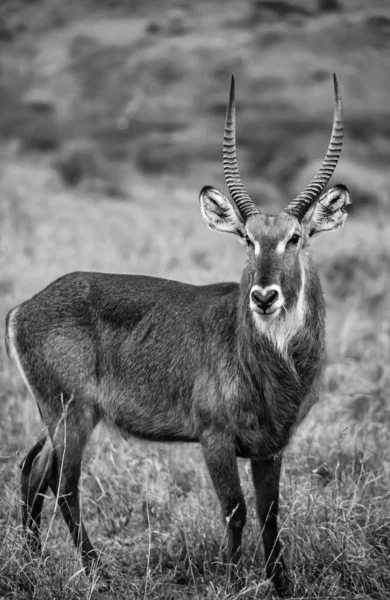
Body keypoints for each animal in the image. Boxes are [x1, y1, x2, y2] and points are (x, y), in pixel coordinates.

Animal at [5, 74, 350, 596]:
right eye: (247, 239)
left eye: (296, 237)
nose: (263, 296)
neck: (276, 368)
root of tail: (24, 306)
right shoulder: (215, 438)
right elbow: (235, 512)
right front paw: (232, 581)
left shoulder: (271, 446)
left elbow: (271, 516)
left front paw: (283, 585)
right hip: (72, 413)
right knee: (64, 488)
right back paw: (97, 573)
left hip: (56, 415)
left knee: (32, 472)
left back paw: (31, 564)